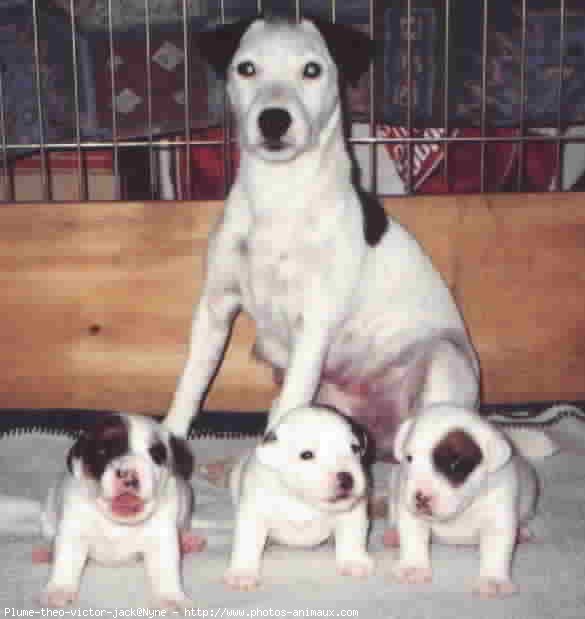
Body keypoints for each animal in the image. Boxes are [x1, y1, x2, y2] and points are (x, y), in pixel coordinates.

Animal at [36, 412, 205, 612]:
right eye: (103, 451)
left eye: (156, 455)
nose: (128, 475)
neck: (118, 523)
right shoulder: (72, 532)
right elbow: (65, 561)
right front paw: (58, 590)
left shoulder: (162, 538)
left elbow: (166, 569)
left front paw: (171, 597)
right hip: (48, 516)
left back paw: (188, 542)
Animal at [163, 14, 480, 456]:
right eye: (247, 68)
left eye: (312, 70)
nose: (273, 119)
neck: (279, 193)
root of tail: (385, 435)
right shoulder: (215, 307)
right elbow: (191, 384)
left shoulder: (312, 326)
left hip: (443, 358)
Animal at [224, 406, 374, 592]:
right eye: (307, 455)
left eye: (354, 448)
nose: (347, 479)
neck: (303, 500)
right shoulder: (254, 513)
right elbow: (247, 542)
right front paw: (243, 573)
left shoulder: (352, 513)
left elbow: (353, 537)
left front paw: (354, 562)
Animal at [386, 404, 544, 600]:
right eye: (409, 458)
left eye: (454, 465)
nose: (421, 498)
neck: (464, 507)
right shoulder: (411, 513)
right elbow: (412, 537)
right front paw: (413, 567)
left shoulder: (498, 517)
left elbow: (496, 549)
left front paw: (493, 580)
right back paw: (393, 534)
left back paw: (522, 532)